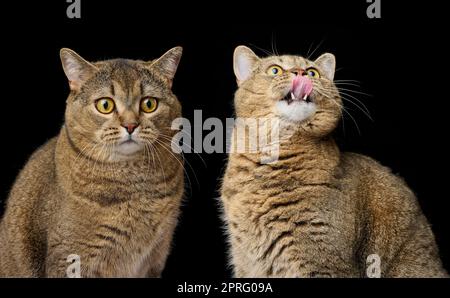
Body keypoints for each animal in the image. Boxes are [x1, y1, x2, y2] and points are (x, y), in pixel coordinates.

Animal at [0, 46, 185, 278]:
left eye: (149, 104)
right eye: (105, 105)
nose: (131, 125)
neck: (136, 186)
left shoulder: (155, 258)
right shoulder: (70, 259)